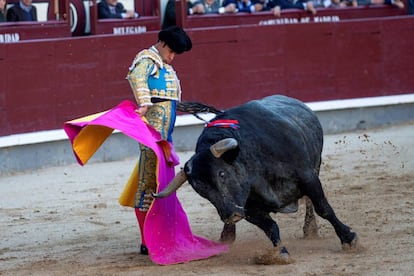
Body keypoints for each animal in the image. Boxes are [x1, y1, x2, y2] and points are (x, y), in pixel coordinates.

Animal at [154, 95, 358, 266]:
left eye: (222, 174)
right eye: (200, 190)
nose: (230, 215)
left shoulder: (308, 178)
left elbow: (324, 209)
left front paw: (349, 238)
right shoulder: (248, 208)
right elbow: (271, 227)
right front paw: (279, 252)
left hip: (317, 165)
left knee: (310, 203)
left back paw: (310, 230)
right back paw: (227, 236)